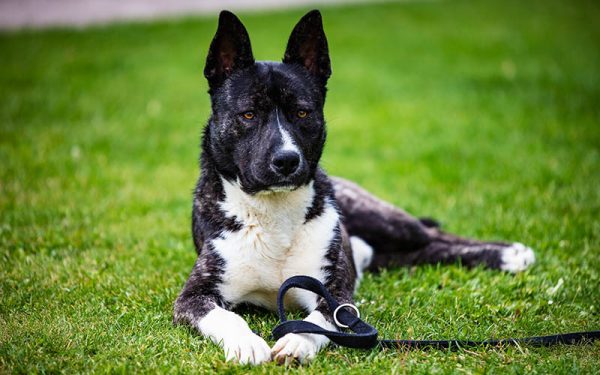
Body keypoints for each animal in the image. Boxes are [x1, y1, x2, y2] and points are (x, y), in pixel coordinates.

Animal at [172, 10, 536, 366]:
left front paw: (298, 340)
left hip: (388, 222)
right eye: (247, 114)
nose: (287, 160)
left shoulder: (337, 295)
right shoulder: (192, 297)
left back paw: (510, 254)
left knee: (435, 236)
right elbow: (226, 316)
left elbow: (321, 318)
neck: (272, 211)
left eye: (302, 112)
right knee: (426, 251)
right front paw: (246, 343)